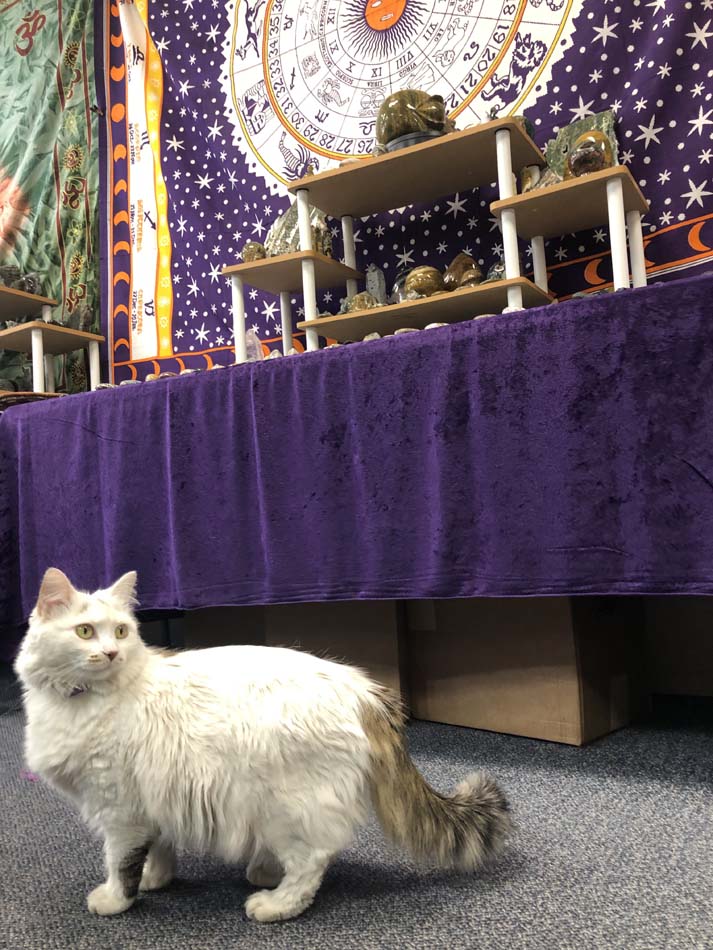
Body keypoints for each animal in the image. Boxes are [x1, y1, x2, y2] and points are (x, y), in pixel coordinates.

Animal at [12, 572, 512, 924]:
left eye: (119, 632)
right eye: (84, 632)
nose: (112, 654)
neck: (84, 699)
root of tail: (362, 688)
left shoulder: (116, 806)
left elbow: (120, 862)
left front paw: (116, 899)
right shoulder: (153, 796)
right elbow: (158, 846)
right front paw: (157, 879)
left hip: (285, 805)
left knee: (313, 862)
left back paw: (273, 903)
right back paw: (265, 872)